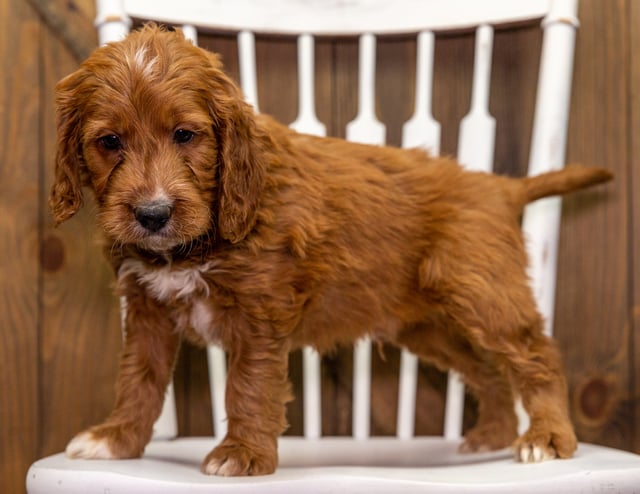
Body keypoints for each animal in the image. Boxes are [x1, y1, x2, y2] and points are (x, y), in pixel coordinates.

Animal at [50, 25, 608, 476]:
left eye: (185, 135)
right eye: (109, 142)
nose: (153, 214)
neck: (197, 240)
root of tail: (498, 186)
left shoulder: (261, 310)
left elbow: (249, 383)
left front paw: (242, 454)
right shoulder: (147, 310)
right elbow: (138, 379)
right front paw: (118, 439)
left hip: (484, 297)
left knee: (536, 354)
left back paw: (547, 437)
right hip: (429, 327)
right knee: (488, 372)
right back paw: (491, 435)